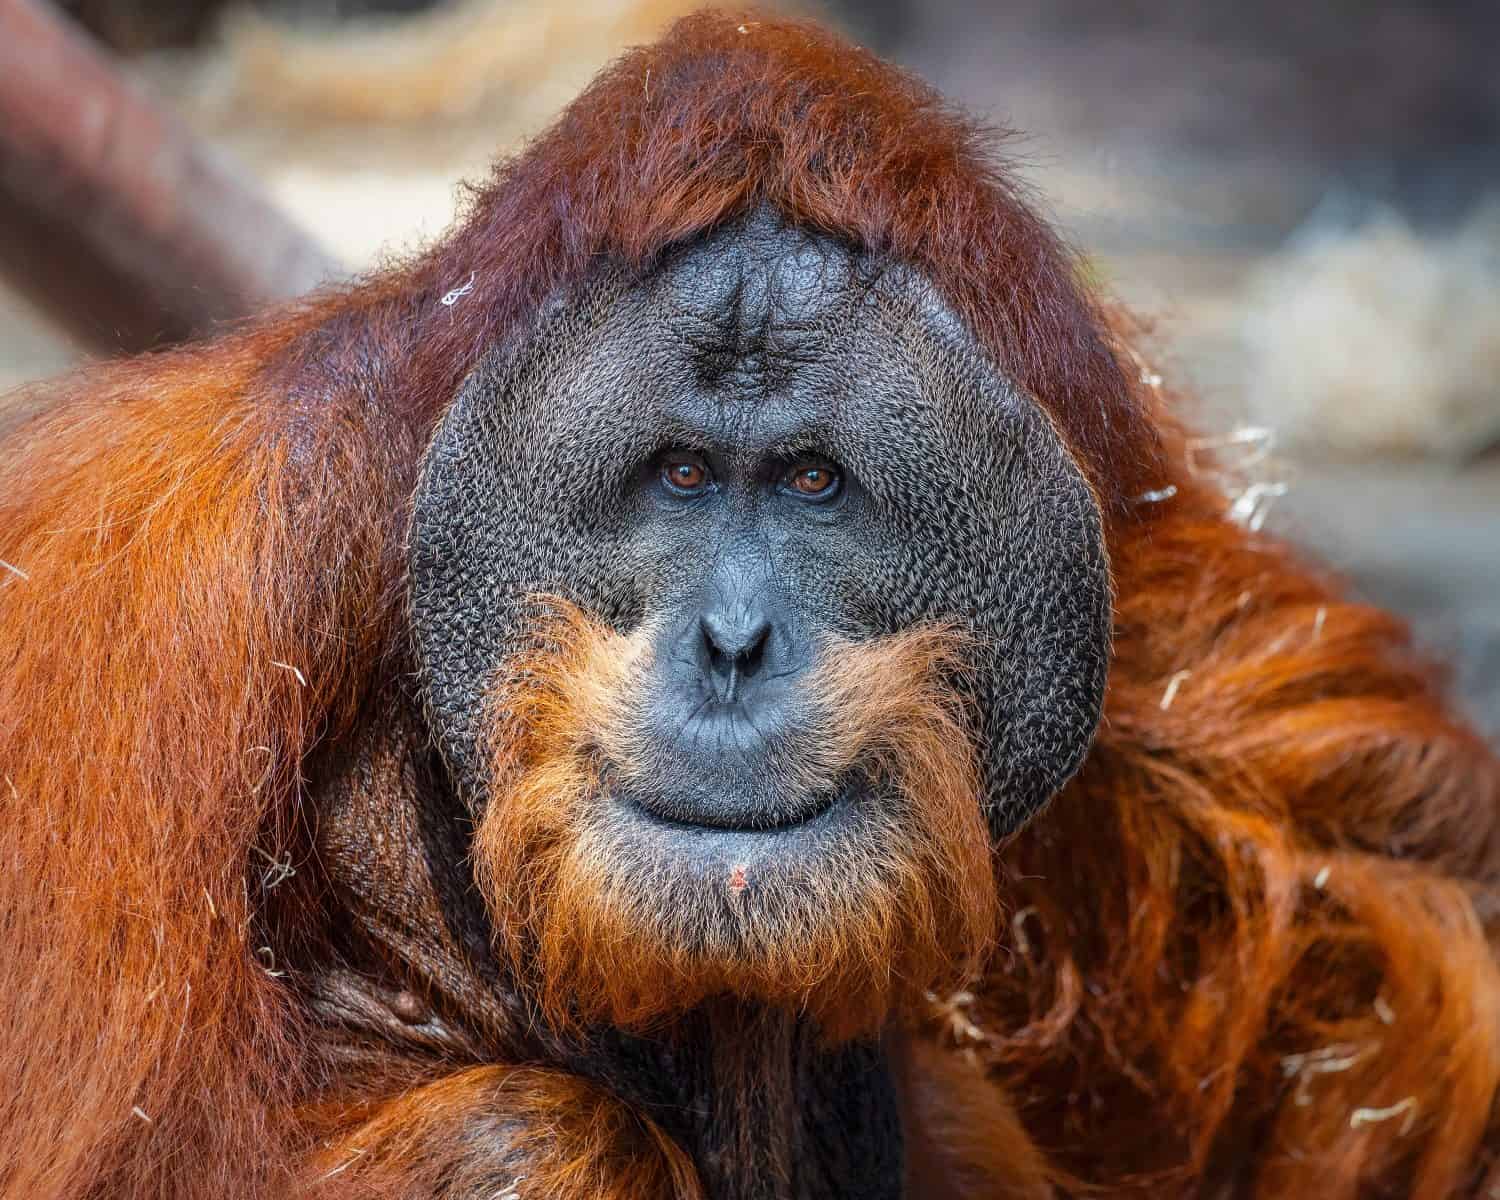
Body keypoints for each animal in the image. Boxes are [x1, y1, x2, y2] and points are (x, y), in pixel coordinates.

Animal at [2, 12, 1498, 1200]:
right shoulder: (171, 616)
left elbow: (1371, 887)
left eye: (813, 481)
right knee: (530, 1146)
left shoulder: (1123, 527)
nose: (731, 645)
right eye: (678, 474)